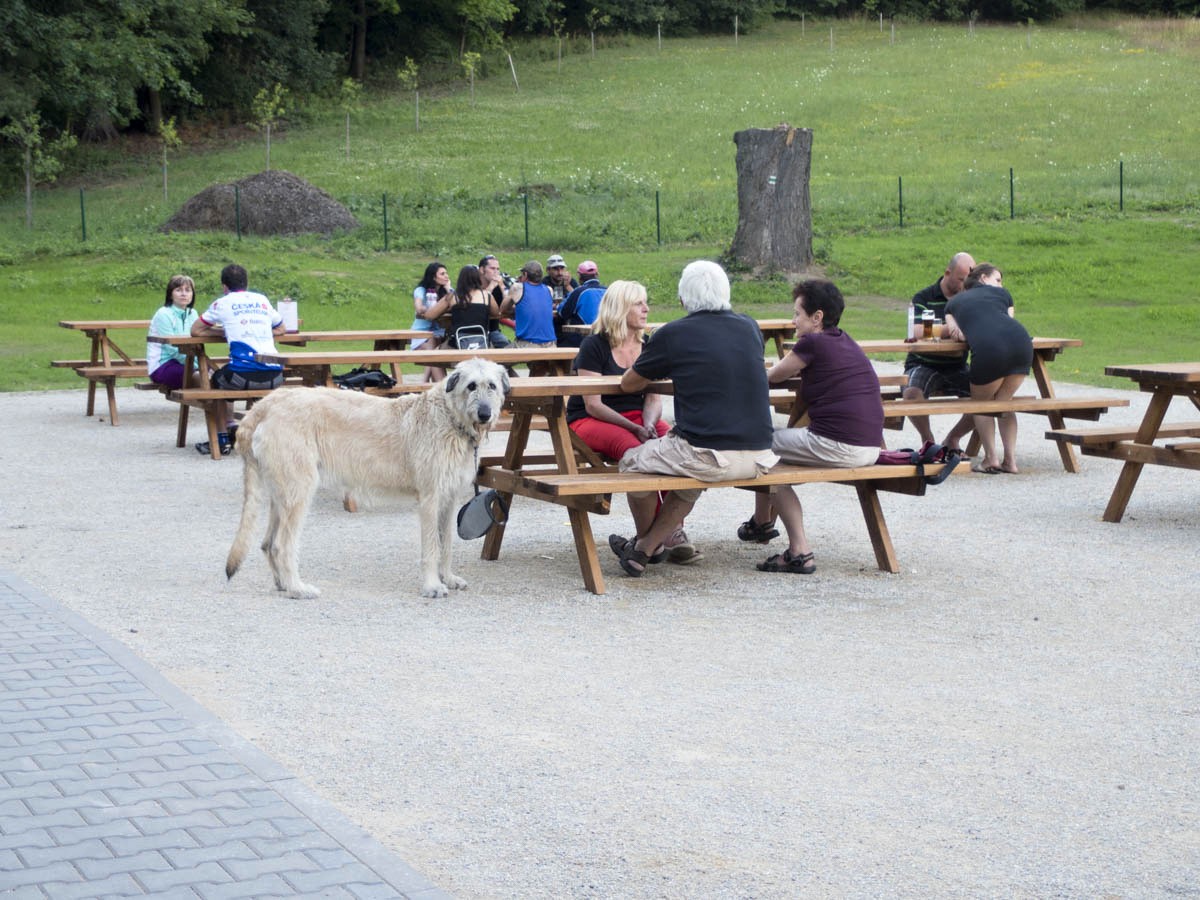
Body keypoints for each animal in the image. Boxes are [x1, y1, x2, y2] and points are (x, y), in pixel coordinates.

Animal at [225, 358, 510, 599]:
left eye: (492, 386)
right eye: (471, 386)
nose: (485, 414)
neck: (450, 418)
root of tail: (265, 404)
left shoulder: (449, 499)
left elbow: (446, 543)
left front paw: (448, 578)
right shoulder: (430, 498)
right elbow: (431, 546)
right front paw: (432, 585)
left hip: (281, 490)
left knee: (267, 543)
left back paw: (283, 584)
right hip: (299, 489)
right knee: (282, 545)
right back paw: (297, 588)